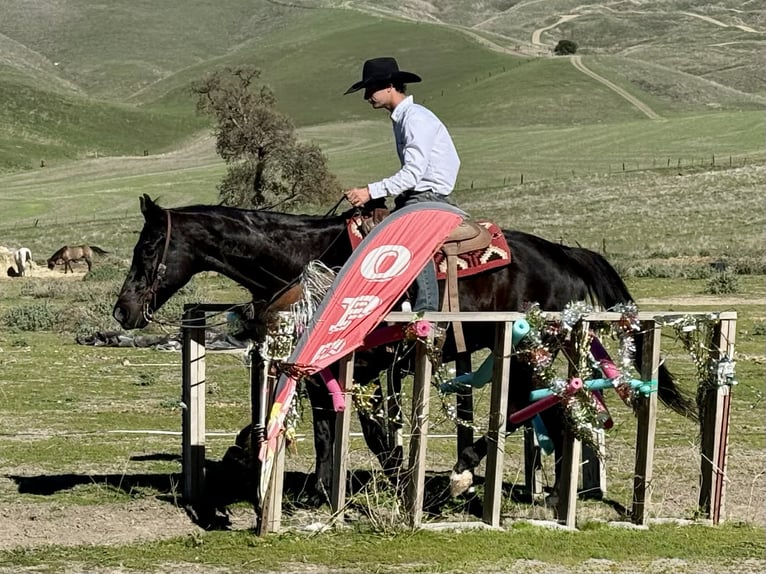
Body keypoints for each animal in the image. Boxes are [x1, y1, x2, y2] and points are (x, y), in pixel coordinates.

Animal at [113, 195, 697, 505]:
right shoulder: (326, 364)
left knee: (542, 406)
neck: (310, 261)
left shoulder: (372, 364)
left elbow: (368, 432)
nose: (122, 310)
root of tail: (567, 254)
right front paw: (316, 488)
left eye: (148, 246)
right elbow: (325, 426)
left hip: (536, 346)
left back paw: (487, 476)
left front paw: (389, 478)